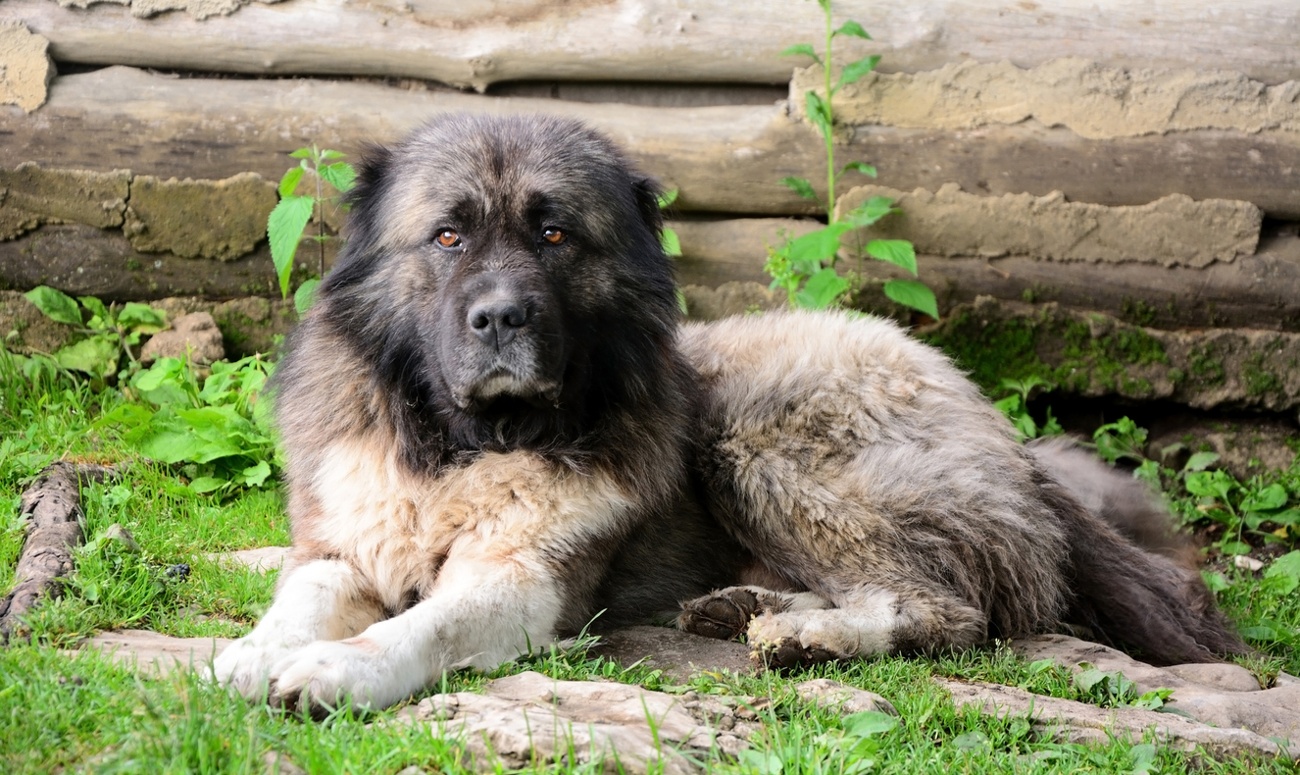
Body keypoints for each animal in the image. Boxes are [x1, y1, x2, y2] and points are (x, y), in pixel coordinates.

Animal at [215, 111, 1248, 712]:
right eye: (447, 236)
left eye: (553, 233)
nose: (502, 316)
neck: (463, 447)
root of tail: (997, 424)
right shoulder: (343, 545)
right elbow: (300, 597)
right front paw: (250, 653)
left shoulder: (525, 582)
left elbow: (419, 626)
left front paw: (336, 671)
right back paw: (750, 605)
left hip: (755, 444)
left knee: (946, 606)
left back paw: (807, 633)